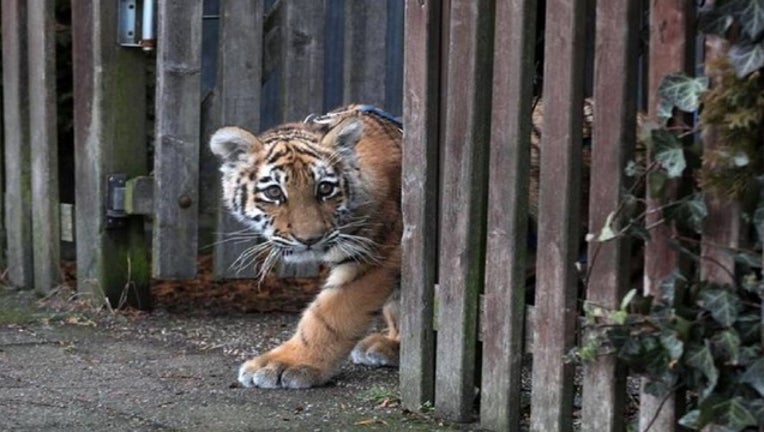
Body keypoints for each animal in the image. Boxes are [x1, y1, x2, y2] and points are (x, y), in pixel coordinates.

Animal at [209, 105, 403, 389]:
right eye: (274, 192)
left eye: (325, 188)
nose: (309, 239)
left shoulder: (375, 256)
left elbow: (329, 316)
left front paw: (286, 363)